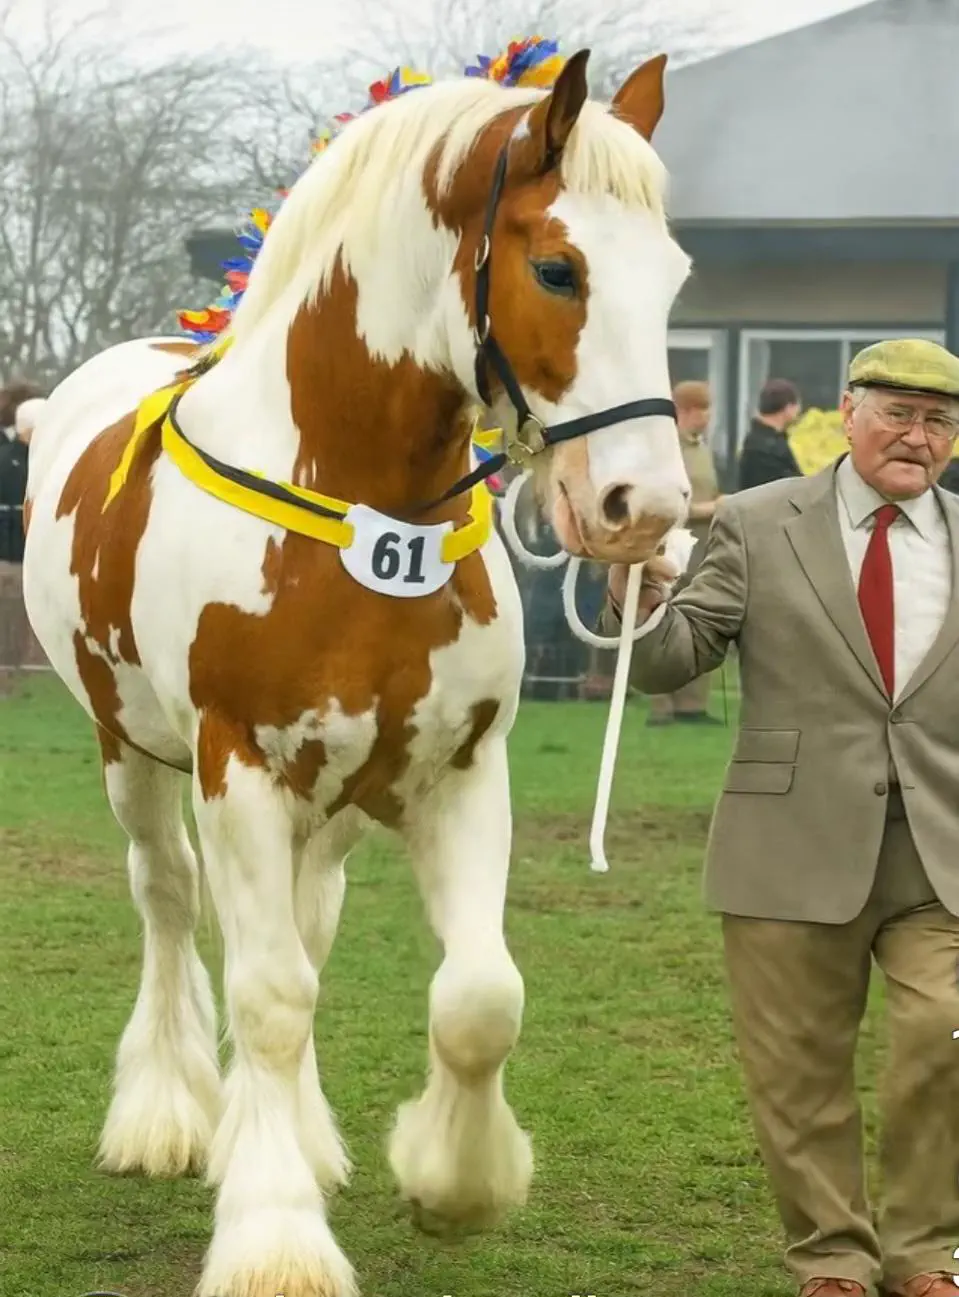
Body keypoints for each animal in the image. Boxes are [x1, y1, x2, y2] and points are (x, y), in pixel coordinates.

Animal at [20, 49, 692, 1297]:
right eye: (556, 266)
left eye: (673, 277)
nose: (646, 511)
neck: (350, 508)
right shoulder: (237, 767)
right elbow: (270, 994)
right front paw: (274, 1236)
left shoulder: (459, 771)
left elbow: (478, 997)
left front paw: (452, 1181)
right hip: (131, 752)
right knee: (169, 901)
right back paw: (170, 1113)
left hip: (326, 802)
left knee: (306, 927)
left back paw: (287, 1129)